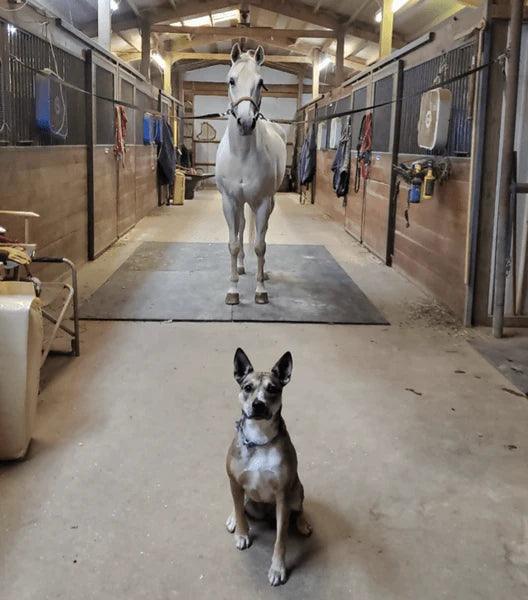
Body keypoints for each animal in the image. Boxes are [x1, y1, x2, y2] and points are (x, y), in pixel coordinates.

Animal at [216, 44, 286, 304]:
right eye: (231, 80)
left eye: (261, 82)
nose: (246, 123)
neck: (242, 154)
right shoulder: (229, 201)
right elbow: (234, 244)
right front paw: (233, 291)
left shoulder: (264, 201)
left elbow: (260, 245)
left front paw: (260, 290)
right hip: (241, 203)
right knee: (244, 226)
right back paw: (241, 267)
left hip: (264, 202)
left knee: (258, 231)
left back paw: (261, 273)